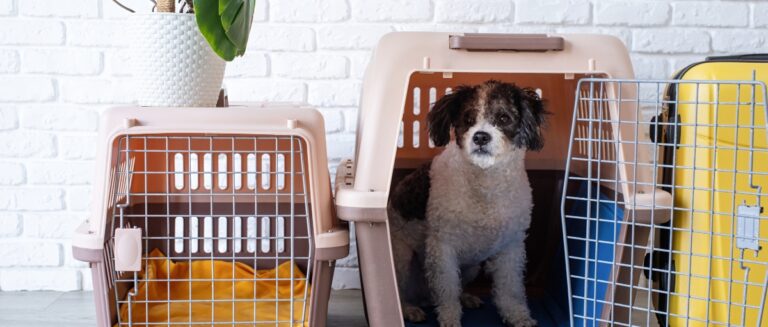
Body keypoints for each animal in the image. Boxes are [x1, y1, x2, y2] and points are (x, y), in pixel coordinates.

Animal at [390, 80, 544, 327]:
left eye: (503, 118)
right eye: (468, 118)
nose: (480, 137)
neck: (485, 185)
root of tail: (422, 295)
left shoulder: (511, 247)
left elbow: (510, 288)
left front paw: (518, 315)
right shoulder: (442, 248)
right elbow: (447, 289)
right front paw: (450, 317)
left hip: (472, 267)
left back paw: (466, 297)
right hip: (402, 259)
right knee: (401, 292)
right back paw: (408, 309)